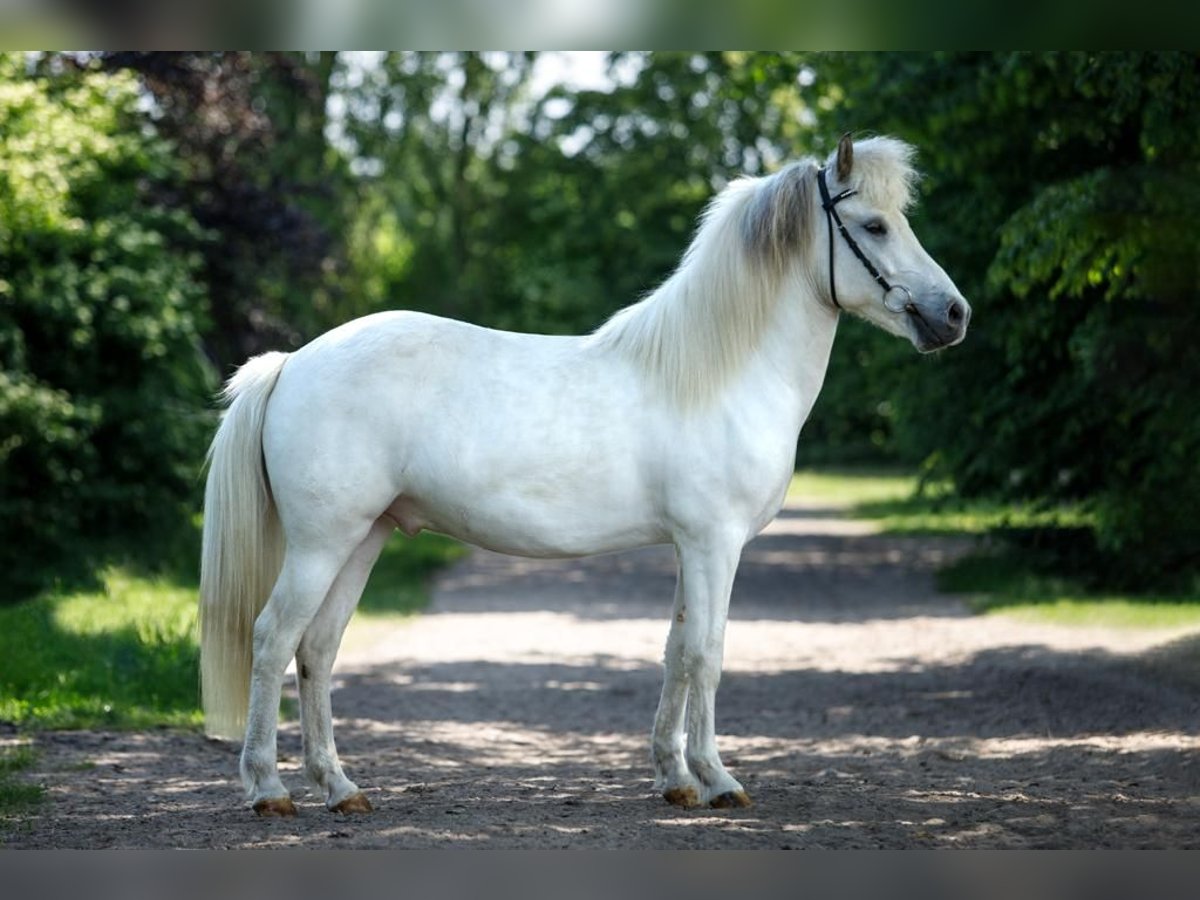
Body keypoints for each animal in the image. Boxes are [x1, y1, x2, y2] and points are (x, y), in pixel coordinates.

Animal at [196, 135, 964, 816]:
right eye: (874, 225)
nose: (953, 315)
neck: (717, 372)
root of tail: (292, 361)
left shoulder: (690, 547)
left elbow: (675, 651)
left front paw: (675, 779)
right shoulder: (715, 544)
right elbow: (708, 654)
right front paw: (718, 779)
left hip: (365, 537)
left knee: (317, 649)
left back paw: (341, 789)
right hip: (323, 543)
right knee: (273, 638)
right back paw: (269, 790)